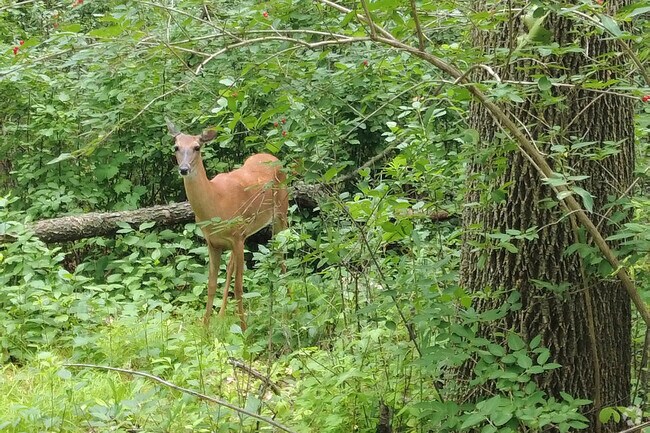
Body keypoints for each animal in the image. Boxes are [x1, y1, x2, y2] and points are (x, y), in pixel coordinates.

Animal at [167, 120, 288, 331]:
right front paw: (205, 330)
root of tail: (273, 156)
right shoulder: (213, 242)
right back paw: (222, 315)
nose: (184, 169)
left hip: (281, 211)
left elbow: (239, 287)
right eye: (176, 147)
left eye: (197, 147)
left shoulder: (237, 238)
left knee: (283, 252)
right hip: (245, 232)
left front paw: (244, 330)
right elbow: (211, 285)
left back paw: (291, 299)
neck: (216, 202)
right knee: (233, 265)